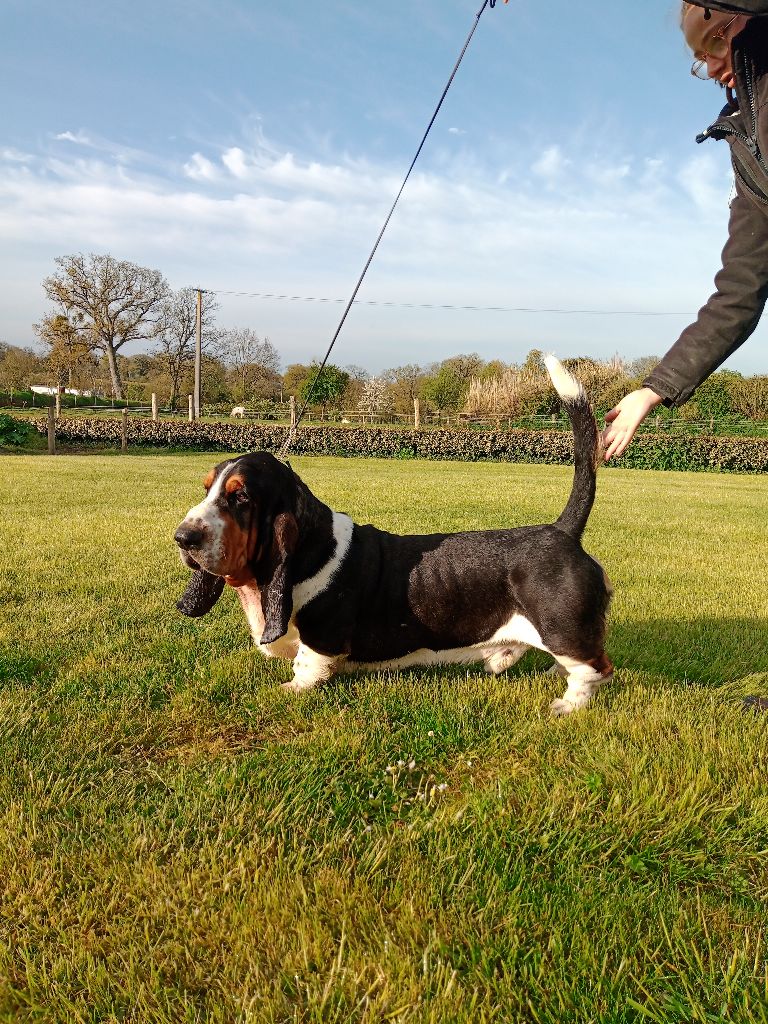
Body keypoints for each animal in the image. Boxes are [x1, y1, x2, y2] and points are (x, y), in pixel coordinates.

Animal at [175, 356, 612, 714]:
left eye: (241, 497)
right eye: (207, 489)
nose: (182, 538)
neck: (313, 550)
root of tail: (562, 531)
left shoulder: (322, 638)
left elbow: (309, 665)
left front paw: (291, 689)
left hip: (561, 629)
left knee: (596, 669)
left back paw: (567, 705)